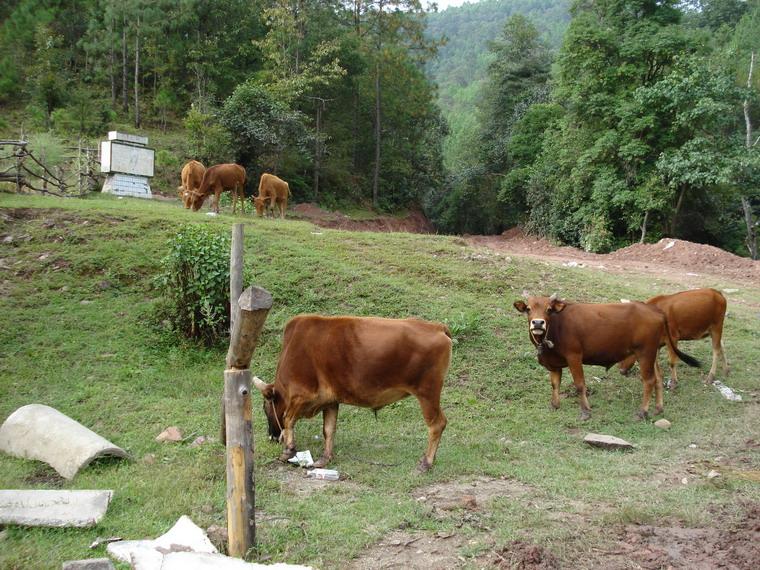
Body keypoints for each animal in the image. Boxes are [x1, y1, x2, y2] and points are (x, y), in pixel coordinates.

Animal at [252, 312, 452, 468]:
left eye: (265, 407)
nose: (271, 436)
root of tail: (436, 327)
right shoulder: (330, 400)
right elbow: (328, 429)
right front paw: (325, 458)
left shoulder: (302, 395)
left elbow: (288, 420)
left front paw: (288, 452)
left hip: (427, 393)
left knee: (437, 424)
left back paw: (426, 463)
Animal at [512, 296, 696, 420]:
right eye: (528, 309)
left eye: (549, 309)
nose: (537, 323)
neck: (556, 326)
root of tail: (654, 310)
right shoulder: (555, 364)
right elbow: (555, 384)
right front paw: (555, 405)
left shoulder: (574, 357)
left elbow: (579, 384)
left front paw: (585, 411)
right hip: (652, 354)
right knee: (658, 378)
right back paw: (658, 408)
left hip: (644, 353)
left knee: (649, 381)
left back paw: (642, 412)